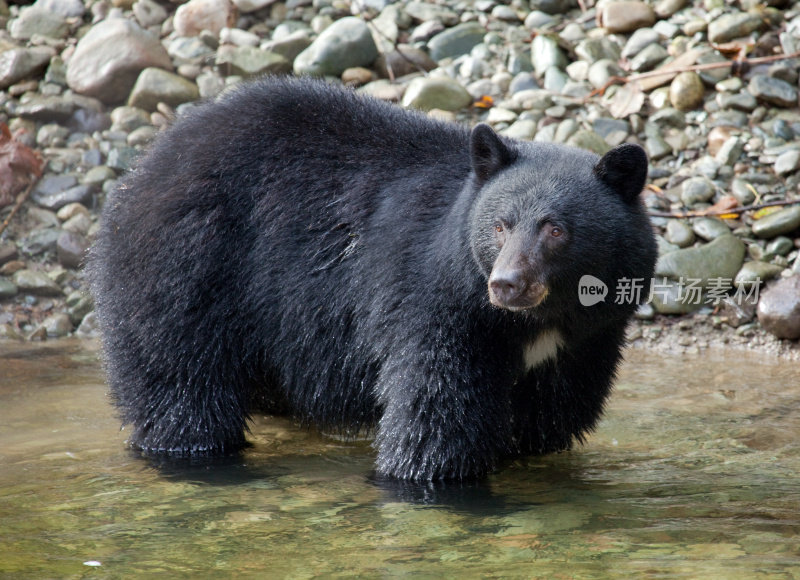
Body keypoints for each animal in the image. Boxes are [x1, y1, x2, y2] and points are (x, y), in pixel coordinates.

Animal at [89, 76, 656, 480]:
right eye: (500, 225)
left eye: (556, 229)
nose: (507, 284)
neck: (534, 322)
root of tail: (143, 170)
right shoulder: (435, 304)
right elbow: (435, 410)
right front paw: (425, 473)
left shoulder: (586, 341)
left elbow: (547, 420)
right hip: (186, 267)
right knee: (179, 379)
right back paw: (193, 449)